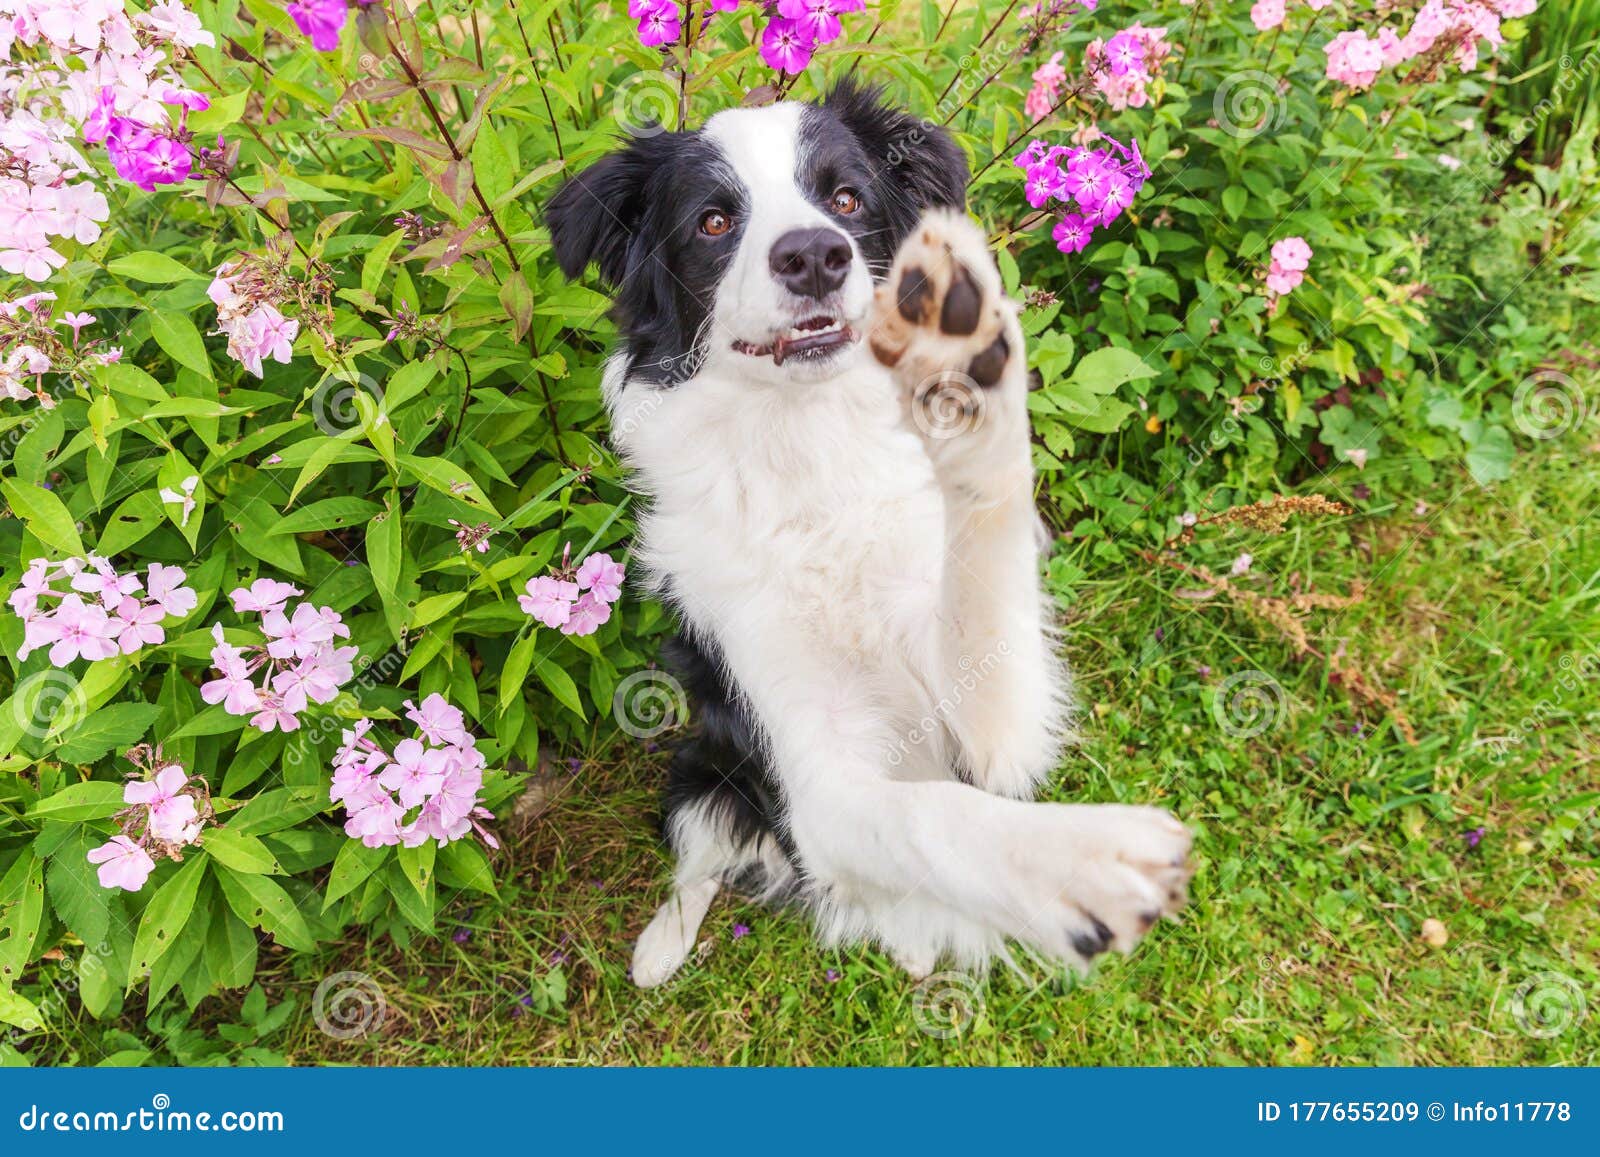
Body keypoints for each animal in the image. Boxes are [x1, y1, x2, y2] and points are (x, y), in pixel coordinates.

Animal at [550, 83, 1190, 985]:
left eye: (846, 199)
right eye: (713, 221)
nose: (816, 254)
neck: (811, 457)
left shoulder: (996, 723)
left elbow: (983, 593)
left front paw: (968, 369)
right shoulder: (816, 781)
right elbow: (929, 818)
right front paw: (1086, 861)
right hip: (701, 769)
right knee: (705, 853)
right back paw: (661, 947)